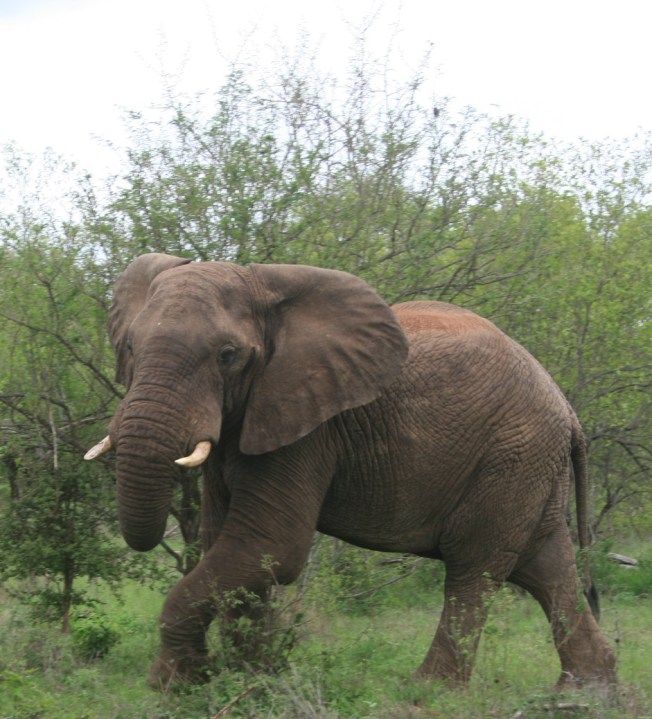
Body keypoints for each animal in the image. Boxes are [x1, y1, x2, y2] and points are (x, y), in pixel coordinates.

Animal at [85, 252, 616, 689]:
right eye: (128, 348)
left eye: (227, 356)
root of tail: (568, 410)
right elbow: (227, 546)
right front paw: (249, 679)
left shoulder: (308, 429)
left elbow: (269, 548)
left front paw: (177, 685)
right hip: (531, 464)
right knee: (547, 568)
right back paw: (585, 691)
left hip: (512, 455)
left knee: (474, 566)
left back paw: (427, 691)